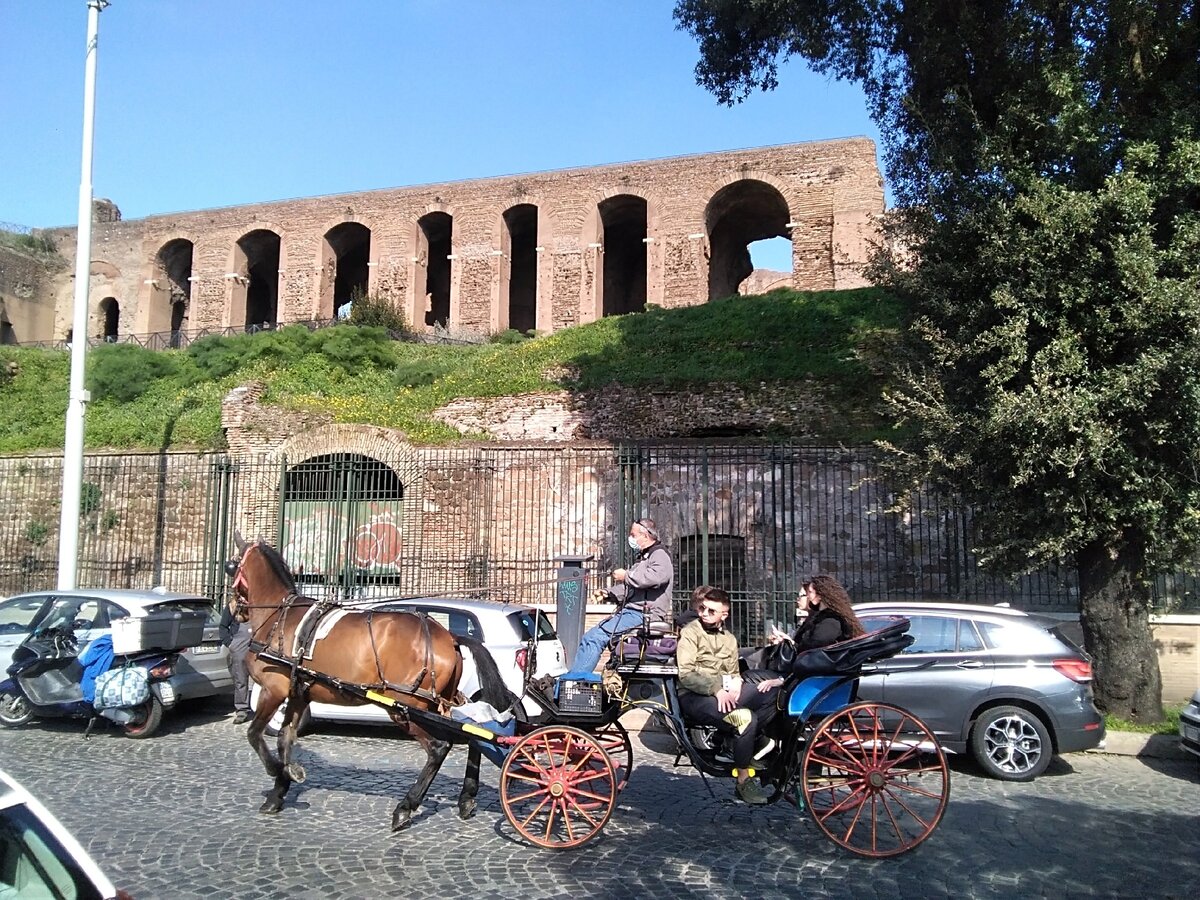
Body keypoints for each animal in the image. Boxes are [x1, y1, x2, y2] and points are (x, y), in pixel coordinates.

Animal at [226, 532, 513, 835]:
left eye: (231, 567)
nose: (233, 609)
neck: (278, 615)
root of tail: (449, 637)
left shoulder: (273, 690)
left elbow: (254, 734)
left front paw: (276, 771)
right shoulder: (297, 694)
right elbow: (284, 738)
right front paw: (280, 787)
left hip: (406, 706)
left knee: (438, 747)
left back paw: (405, 807)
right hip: (437, 703)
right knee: (472, 737)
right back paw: (466, 797)